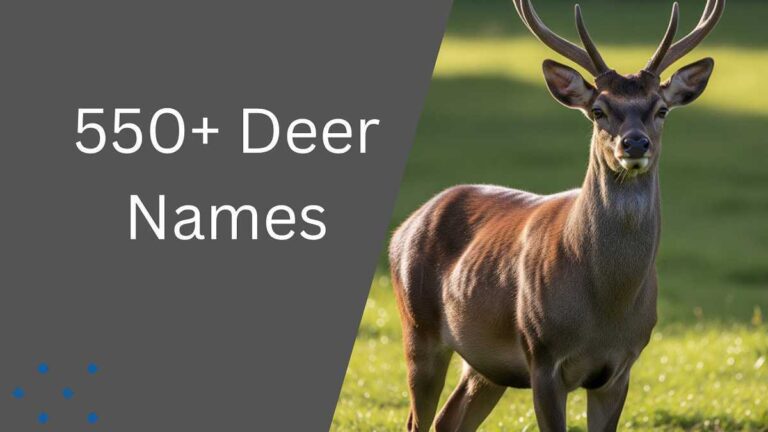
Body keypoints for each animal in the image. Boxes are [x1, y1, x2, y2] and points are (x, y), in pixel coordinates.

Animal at [389, 1, 724, 431]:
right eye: (598, 110)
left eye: (661, 109)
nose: (634, 143)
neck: (606, 308)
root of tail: (404, 227)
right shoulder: (543, 355)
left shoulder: (621, 368)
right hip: (418, 327)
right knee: (419, 418)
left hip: (485, 364)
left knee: (450, 418)